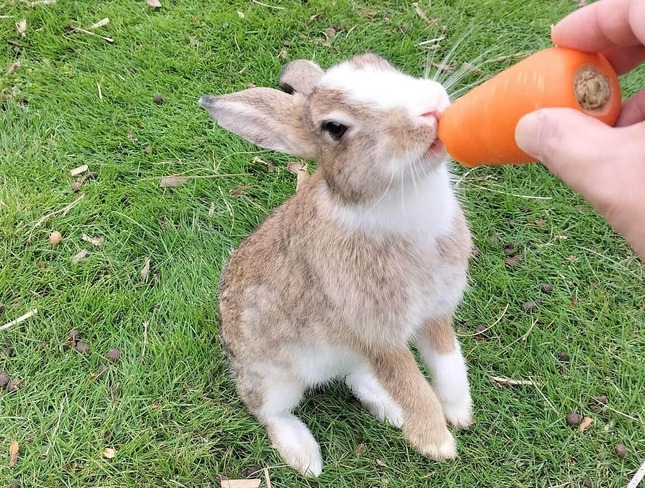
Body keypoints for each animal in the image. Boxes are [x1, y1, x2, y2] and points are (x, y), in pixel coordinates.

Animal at [200, 53, 472, 476]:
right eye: (335, 128)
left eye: (379, 63)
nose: (430, 108)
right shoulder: (378, 333)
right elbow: (413, 386)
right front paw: (437, 444)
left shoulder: (436, 314)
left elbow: (449, 363)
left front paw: (459, 413)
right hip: (273, 378)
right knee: (268, 412)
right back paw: (304, 458)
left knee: (355, 376)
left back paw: (389, 410)